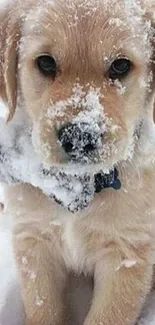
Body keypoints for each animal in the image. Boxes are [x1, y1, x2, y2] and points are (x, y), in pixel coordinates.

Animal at [0, 0, 155, 324]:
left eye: (120, 66)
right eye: (46, 63)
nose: (81, 136)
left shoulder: (127, 253)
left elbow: (108, 315)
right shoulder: (33, 240)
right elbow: (43, 307)